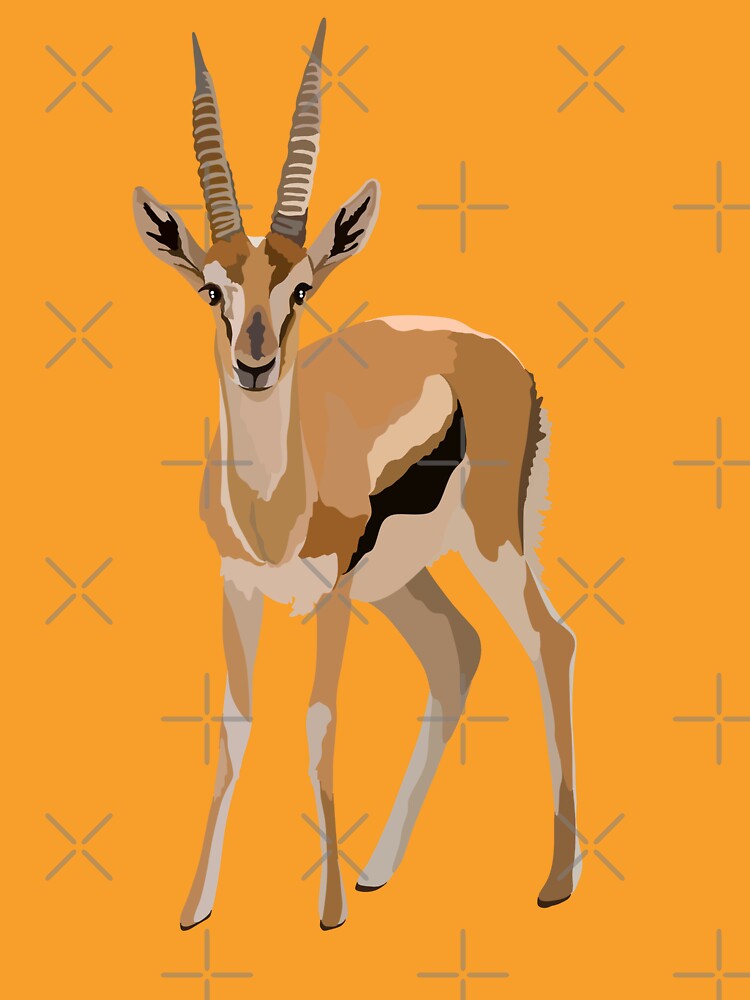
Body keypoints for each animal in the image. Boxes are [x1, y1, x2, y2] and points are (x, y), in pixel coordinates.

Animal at [133, 19, 579, 932]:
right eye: (211, 290)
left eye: (302, 288)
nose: (255, 364)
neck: (272, 508)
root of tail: (504, 358)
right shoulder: (235, 585)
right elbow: (234, 725)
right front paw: (196, 908)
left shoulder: (333, 592)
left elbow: (319, 720)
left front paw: (329, 909)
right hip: (409, 581)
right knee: (458, 651)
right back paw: (380, 869)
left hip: (491, 546)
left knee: (550, 641)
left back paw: (555, 880)